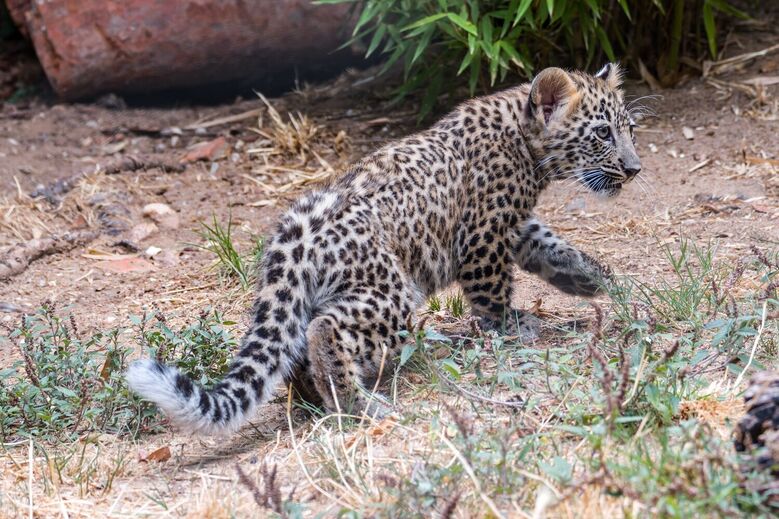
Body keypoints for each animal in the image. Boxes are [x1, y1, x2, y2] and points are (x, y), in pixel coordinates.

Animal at [127, 63, 642, 435]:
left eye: (630, 129)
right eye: (602, 133)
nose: (634, 169)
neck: (526, 141)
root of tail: (294, 238)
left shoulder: (512, 224)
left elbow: (549, 246)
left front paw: (593, 278)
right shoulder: (483, 234)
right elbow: (493, 290)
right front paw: (512, 326)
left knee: (293, 347)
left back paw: (317, 399)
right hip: (390, 290)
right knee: (325, 329)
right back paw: (358, 405)